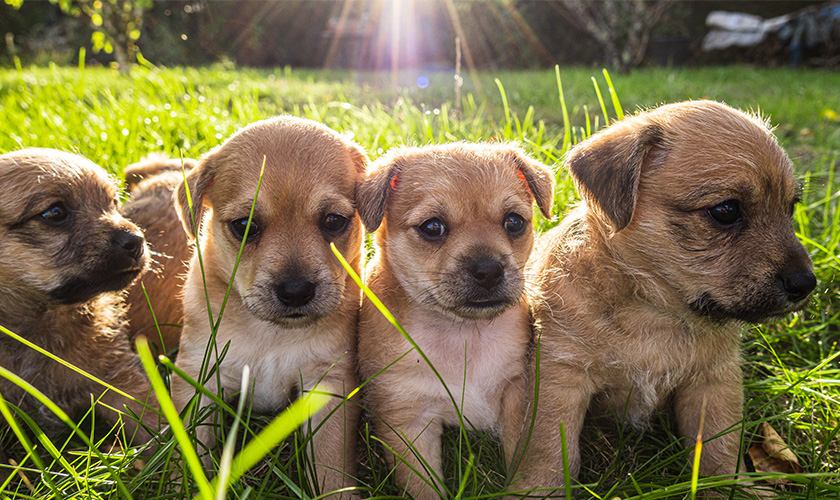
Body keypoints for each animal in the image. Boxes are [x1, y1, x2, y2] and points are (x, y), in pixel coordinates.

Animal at [169, 117, 366, 496]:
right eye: (245, 225)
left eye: (333, 221)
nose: (296, 291)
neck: (271, 334)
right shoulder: (199, 374)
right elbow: (191, 446)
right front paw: (181, 486)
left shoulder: (327, 382)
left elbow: (330, 459)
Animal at [358, 142, 556, 500]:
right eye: (432, 227)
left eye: (514, 222)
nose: (489, 270)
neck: (462, 334)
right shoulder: (408, 421)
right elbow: (424, 488)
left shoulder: (517, 395)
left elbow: (523, 460)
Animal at [516, 100, 816, 496]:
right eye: (725, 211)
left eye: (791, 208)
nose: (806, 283)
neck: (654, 310)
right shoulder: (560, 377)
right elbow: (548, 447)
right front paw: (535, 490)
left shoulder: (713, 381)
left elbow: (720, 448)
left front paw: (736, 487)